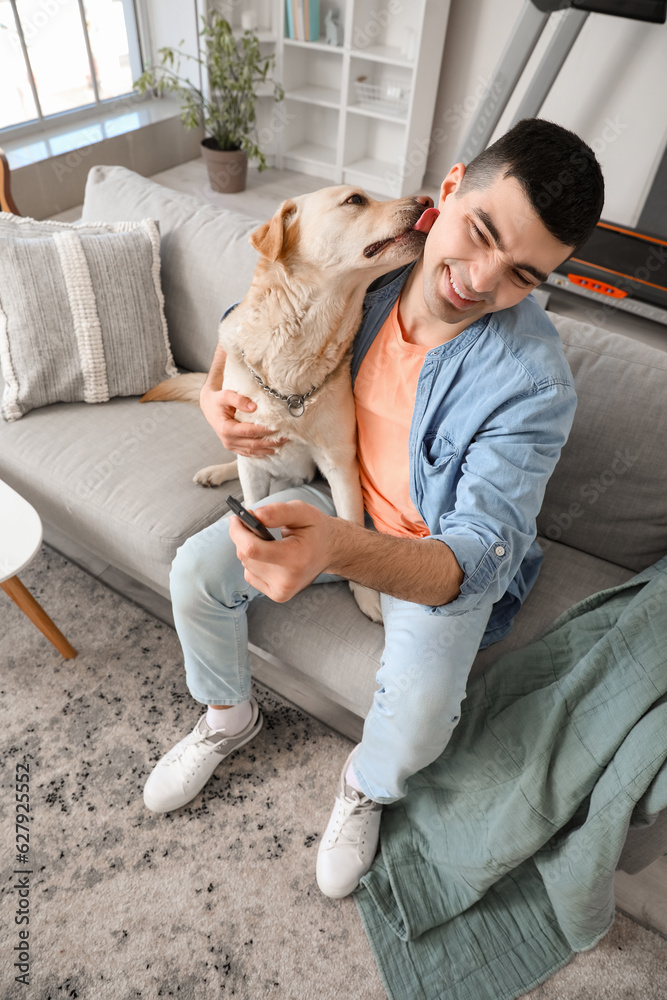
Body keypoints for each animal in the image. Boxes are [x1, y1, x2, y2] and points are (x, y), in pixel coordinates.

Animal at [145, 182, 438, 616]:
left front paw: (365, 594)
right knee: (238, 462)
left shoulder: (339, 465)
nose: (429, 201)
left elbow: (351, 525)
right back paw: (217, 470)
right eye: (355, 200)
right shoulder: (253, 462)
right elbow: (253, 503)